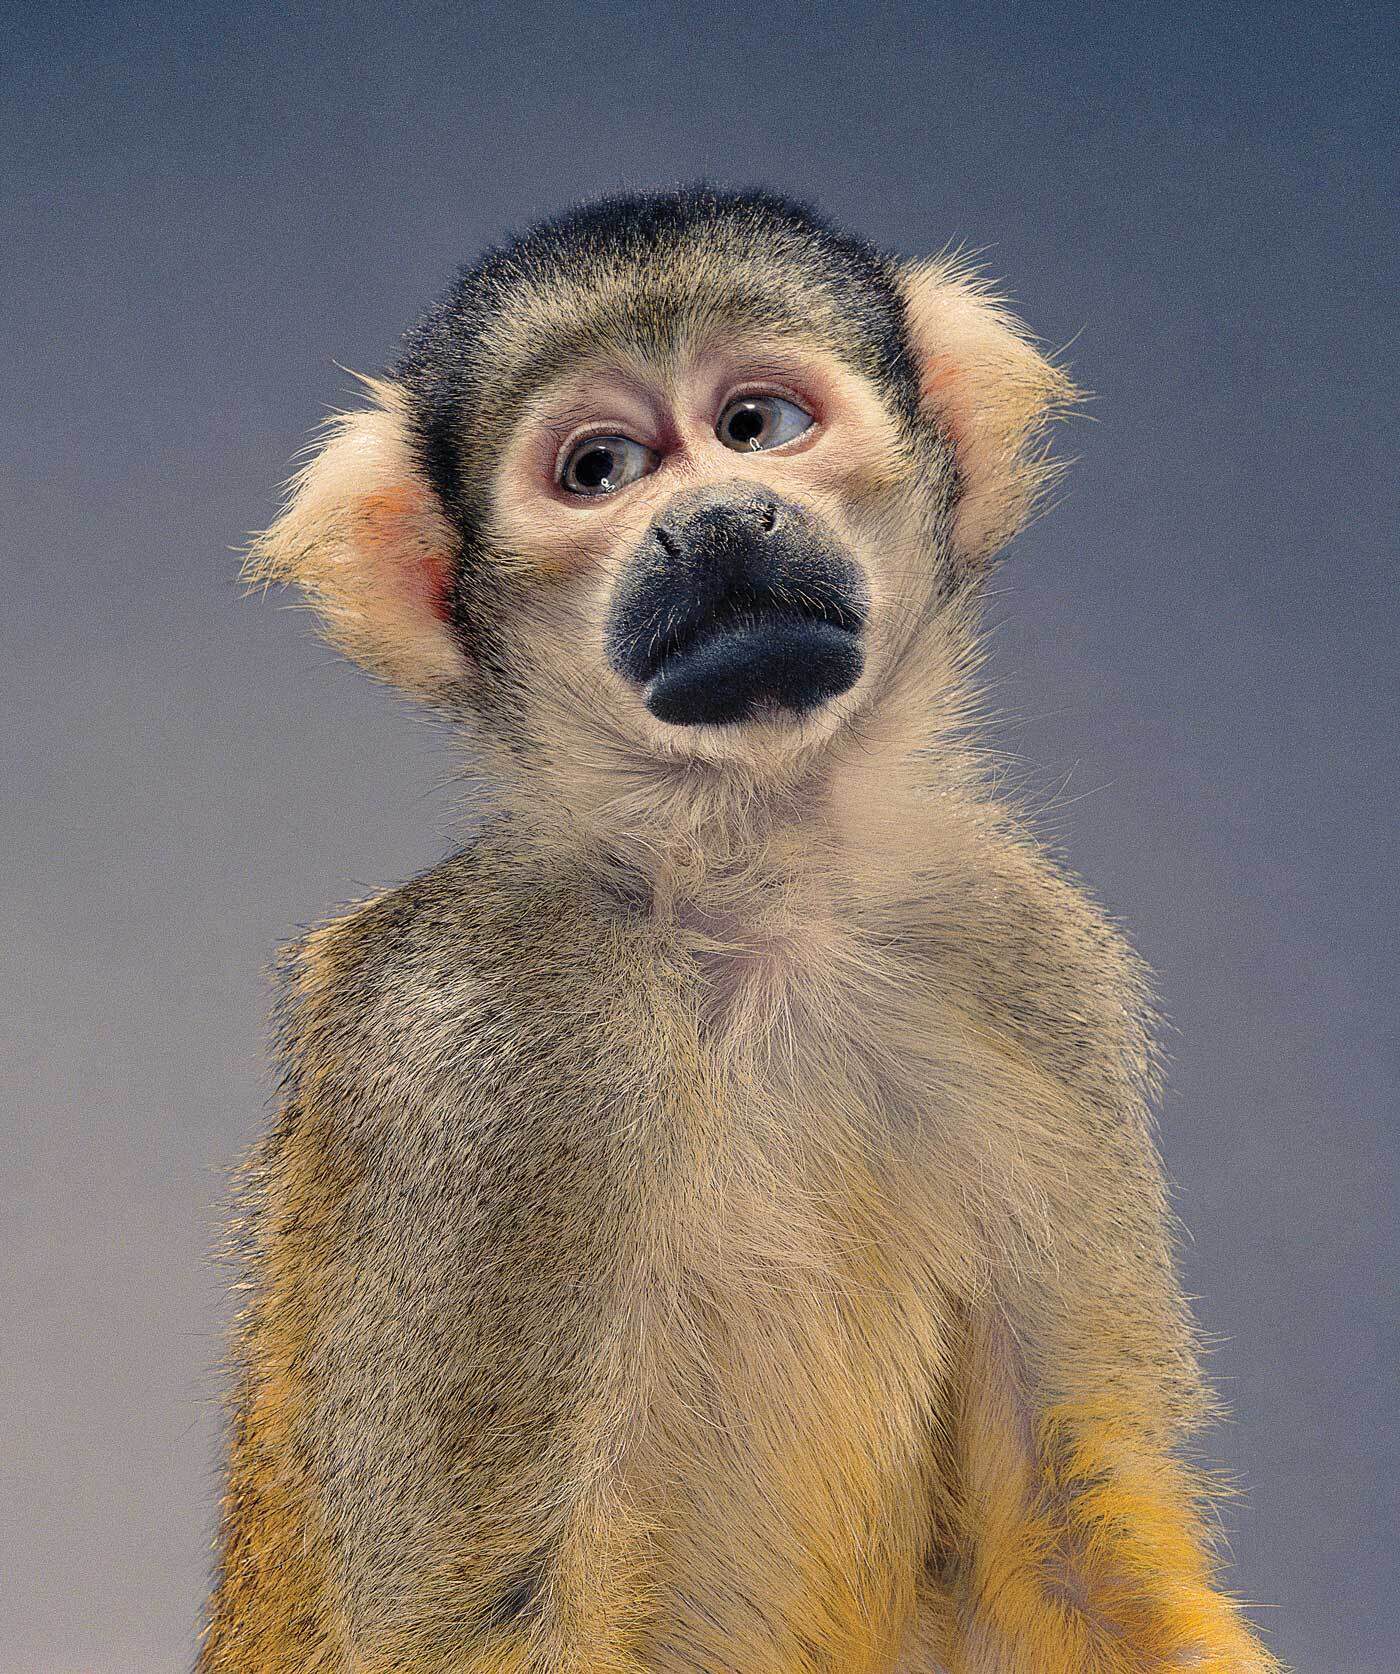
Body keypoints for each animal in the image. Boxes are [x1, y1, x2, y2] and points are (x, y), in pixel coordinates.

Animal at [200, 186, 1283, 1674]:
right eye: (598, 469)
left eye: (757, 423)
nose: (712, 523)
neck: (749, 885)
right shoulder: (476, 1038)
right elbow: (475, 1613)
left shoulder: (1024, 957)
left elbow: (1068, 1525)